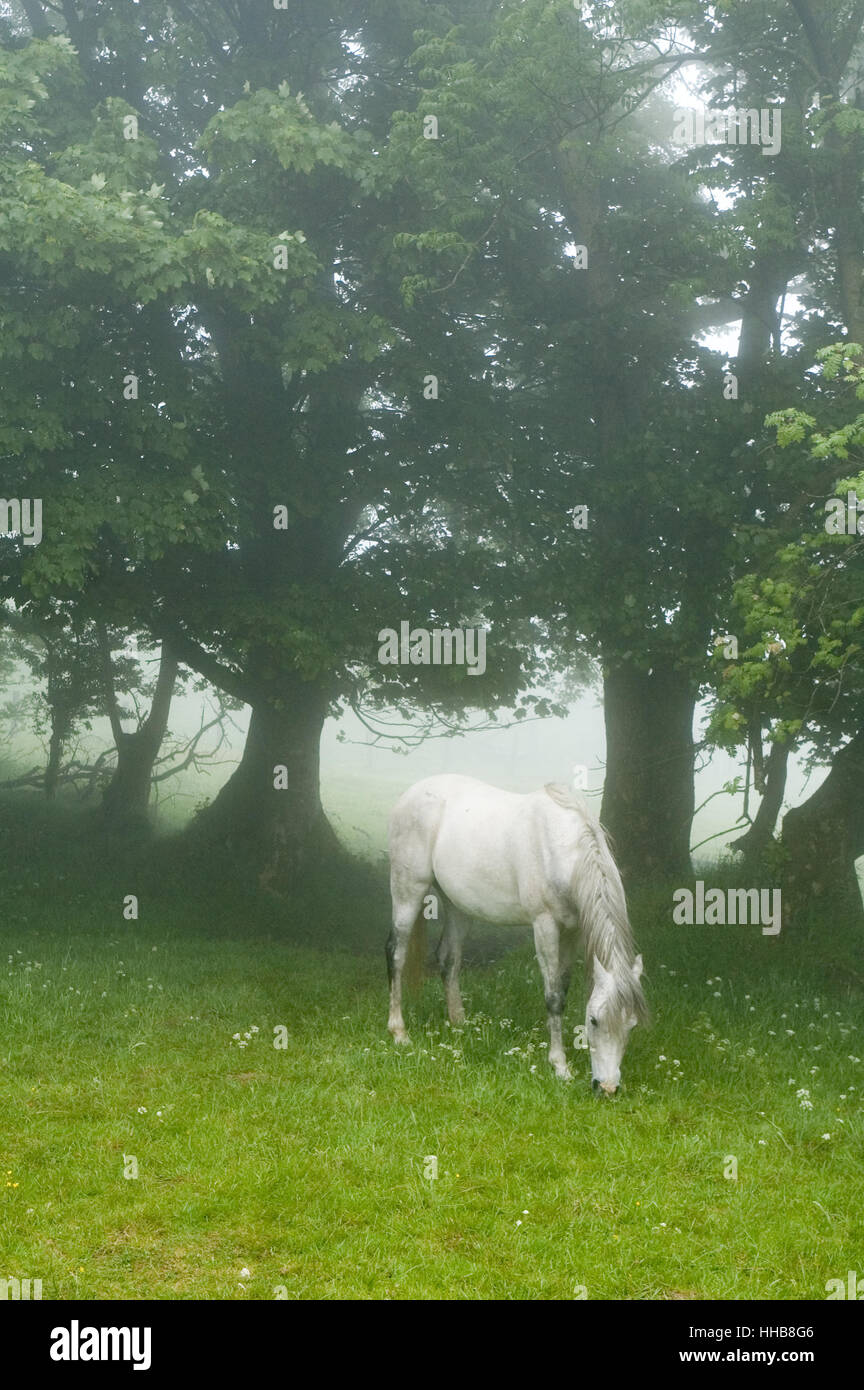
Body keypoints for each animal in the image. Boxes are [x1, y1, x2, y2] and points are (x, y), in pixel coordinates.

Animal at [386, 774, 646, 1093]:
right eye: (594, 1020)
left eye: (631, 1025)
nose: (607, 1088)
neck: (563, 850)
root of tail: (411, 792)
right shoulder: (544, 925)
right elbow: (554, 996)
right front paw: (559, 1065)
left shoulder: (572, 932)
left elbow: (564, 987)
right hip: (408, 890)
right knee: (396, 954)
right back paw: (399, 1032)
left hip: (457, 905)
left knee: (449, 959)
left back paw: (459, 1024)